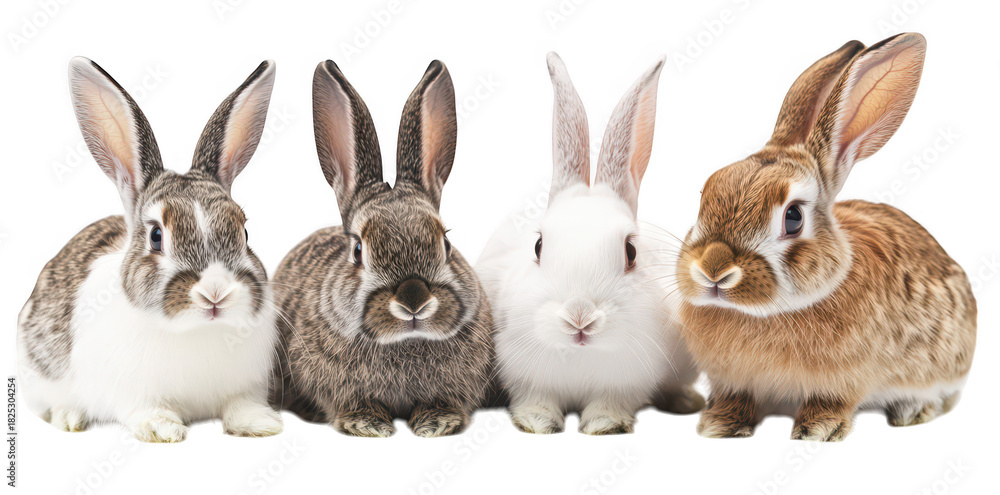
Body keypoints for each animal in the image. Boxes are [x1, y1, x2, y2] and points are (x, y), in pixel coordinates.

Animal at [16, 58, 283, 443]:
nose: (215, 293)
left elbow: (240, 404)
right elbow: (146, 409)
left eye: (244, 231)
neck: (194, 331)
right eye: (156, 236)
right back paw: (69, 418)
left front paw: (260, 424)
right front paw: (164, 429)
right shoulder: (130, 392)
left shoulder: (247, 385)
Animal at [475, 53, 703, 436]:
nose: (579, 317)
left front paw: (603, 425)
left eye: (631, 252)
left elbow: (610, 404)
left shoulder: (627, 382)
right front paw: (537, 423)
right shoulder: (525, 375)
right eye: (538, 246)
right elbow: (537, 399)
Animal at [674, 33, 977, 442]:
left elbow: (832, 402)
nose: (713, 269)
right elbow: (737, 399)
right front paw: (719, 424)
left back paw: (912, 411)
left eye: (793, 217)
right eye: (705, 194)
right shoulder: (733, 381)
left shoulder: (845, 381)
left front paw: (817, 430)